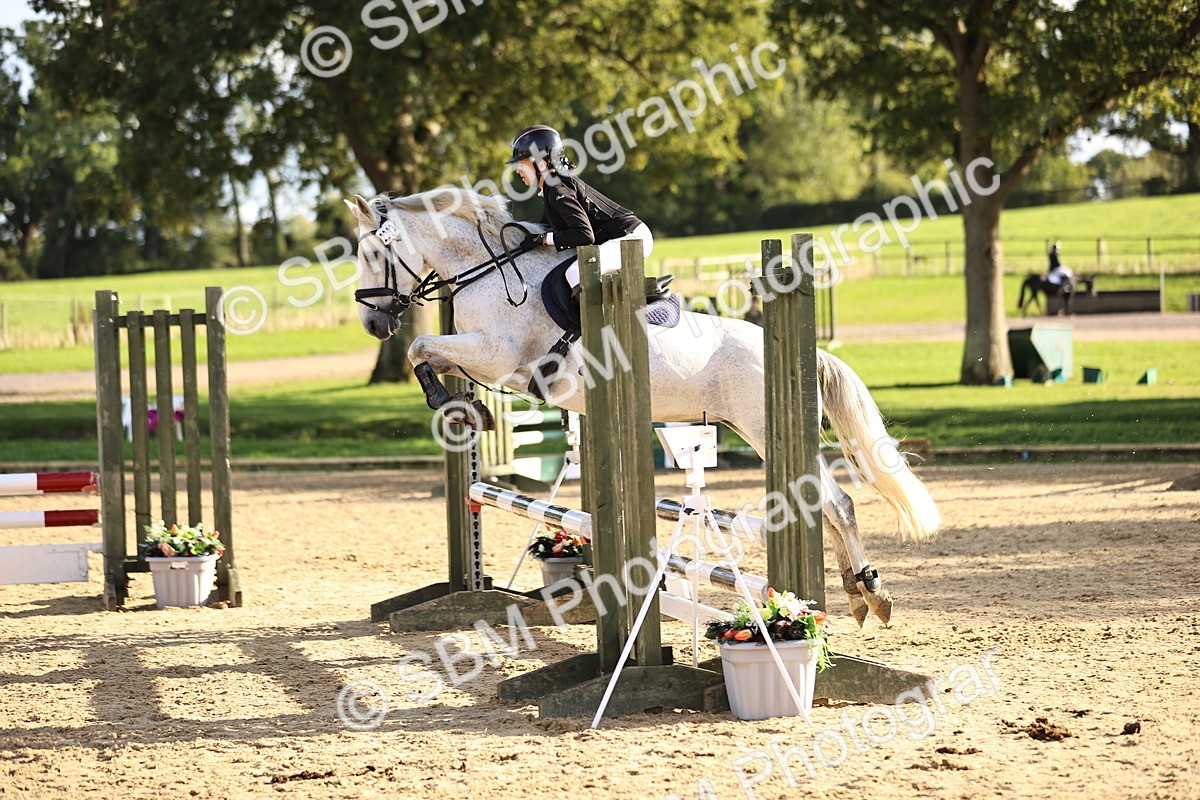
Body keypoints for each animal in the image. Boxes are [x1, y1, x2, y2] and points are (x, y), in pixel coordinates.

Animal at [345, 188, 940, 626]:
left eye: (372, 255)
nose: (373, 324)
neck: (488, 271)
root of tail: (807, 353)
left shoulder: (497, 356)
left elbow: (422, 349)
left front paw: (453, 408)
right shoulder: (483, 358)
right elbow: (431, 356)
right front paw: (467, 413)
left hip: (766, 428)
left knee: (835, 502)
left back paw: (871, 594)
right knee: (823, 503)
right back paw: (854, 595)